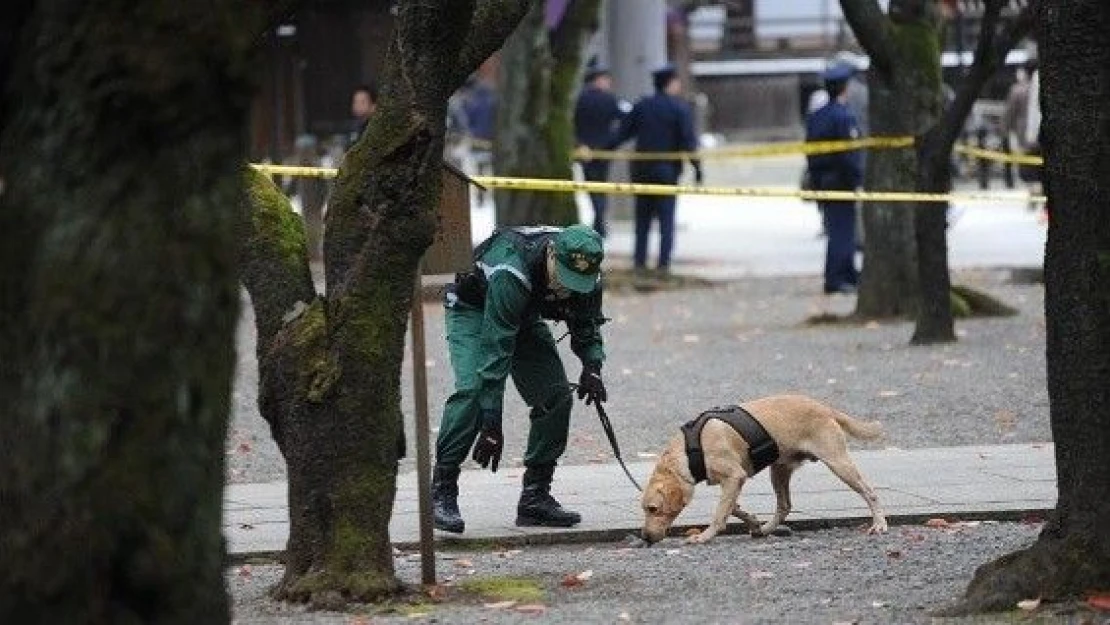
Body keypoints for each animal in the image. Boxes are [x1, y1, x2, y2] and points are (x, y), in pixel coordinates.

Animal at [643, 399, 883, 546]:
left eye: (653, 509)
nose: (644, 538)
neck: (691, 449)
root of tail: (824, 407)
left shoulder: (734, 476)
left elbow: (720, 514)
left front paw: (704, 536)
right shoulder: (732, 483)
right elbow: (732, 508)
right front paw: (753, 521)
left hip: (838, 463)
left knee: (870, 492)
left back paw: (879, 524)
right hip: (779, 470)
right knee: (785, 505)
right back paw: (765, 530)